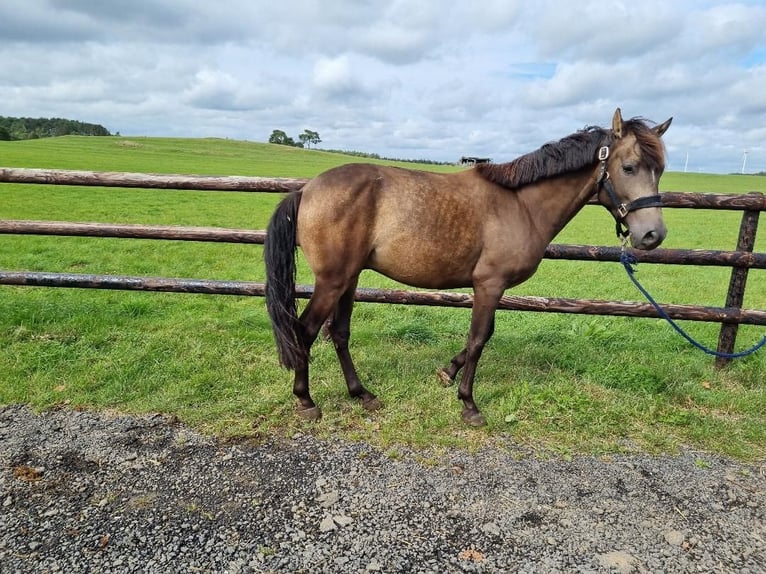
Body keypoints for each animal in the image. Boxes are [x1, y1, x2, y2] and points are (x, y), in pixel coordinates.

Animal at [268, 109, 676, 428]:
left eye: (660, 170)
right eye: (628, 167)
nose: (652, 235)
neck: (521, 204)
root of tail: (307, 190)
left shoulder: (491, 287)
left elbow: (481, 336)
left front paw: (447, 373)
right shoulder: (489, 284)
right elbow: (479, 338)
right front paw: (469, 403)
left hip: (350, 279)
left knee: (338, 333)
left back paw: (361, 394)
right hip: (333, 280)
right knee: (305, 330)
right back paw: (306, 400)